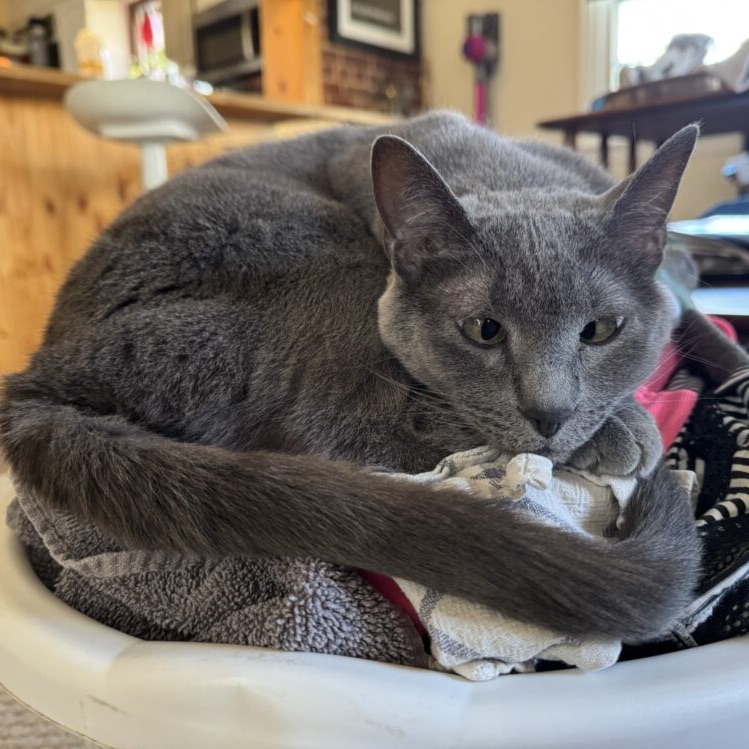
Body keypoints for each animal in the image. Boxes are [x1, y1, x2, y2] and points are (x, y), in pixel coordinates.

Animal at [0, 114, 700, 640]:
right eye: (484, 330)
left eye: (600, 330)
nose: (550, 413)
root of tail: (45, 369)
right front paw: (624, 429)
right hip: (317, 253)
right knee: (352, 428)